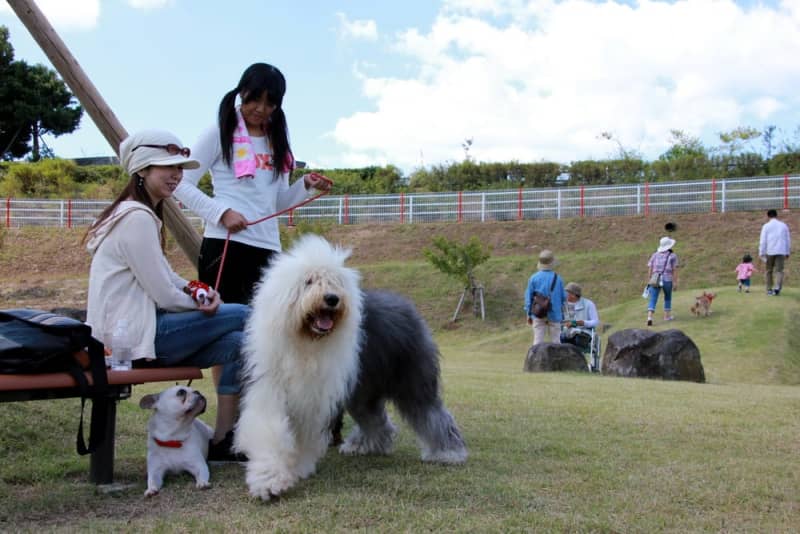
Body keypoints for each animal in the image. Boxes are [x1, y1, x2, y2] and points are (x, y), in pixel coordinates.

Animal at [234, 234, 466, 502]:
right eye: (309, 281)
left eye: (335, 282)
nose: (332, 299)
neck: (305, 342)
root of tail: (408, 307)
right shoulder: (269, 387)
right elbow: (270, 430)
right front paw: (270, 480)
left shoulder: (313, 398)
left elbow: (303, 434)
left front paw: (293, 470)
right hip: (362, 391)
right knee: (376, 419)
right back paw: (365, 445)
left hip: (412, 381)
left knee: (431, 413)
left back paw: (448, 452)